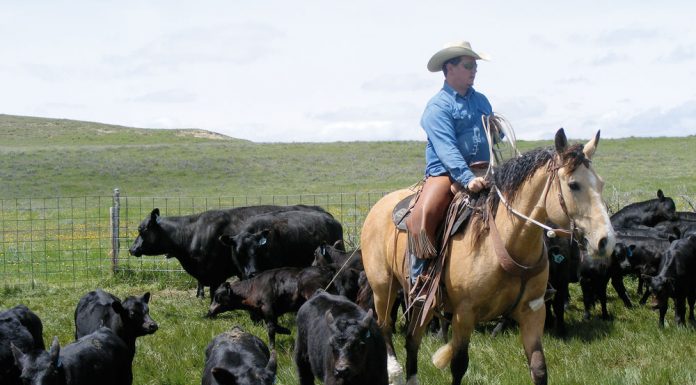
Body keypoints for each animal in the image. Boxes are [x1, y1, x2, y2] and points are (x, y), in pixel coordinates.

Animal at [362, 129, 616, 384]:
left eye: (601, 183)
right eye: (573, 184)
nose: (606, 241)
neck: (505, 242)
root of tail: (378, 206)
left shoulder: (533, 312)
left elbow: (539, 367)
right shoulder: (464, 314)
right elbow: (458, 366)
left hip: (420, 301)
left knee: (412, 339)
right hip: (383, 288)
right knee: (384, 326)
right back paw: (394, 371)